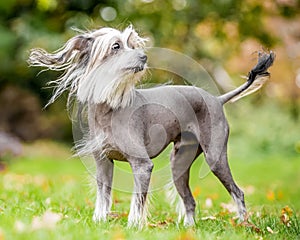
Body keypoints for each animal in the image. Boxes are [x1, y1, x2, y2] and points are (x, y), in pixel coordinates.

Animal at [28, 25, 274, 228]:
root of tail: (216, 98)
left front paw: (133, 226)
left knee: (238, 193)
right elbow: (103, 196)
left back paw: (244, 224)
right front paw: (99, 221)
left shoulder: (142, 165)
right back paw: (189, 229)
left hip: (215, 158)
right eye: (116, 46)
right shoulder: (104, 164)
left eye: (133, 45)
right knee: (190, 201)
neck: (110, 108)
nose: (144, 57)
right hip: (178, 164)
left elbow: (137, 200)